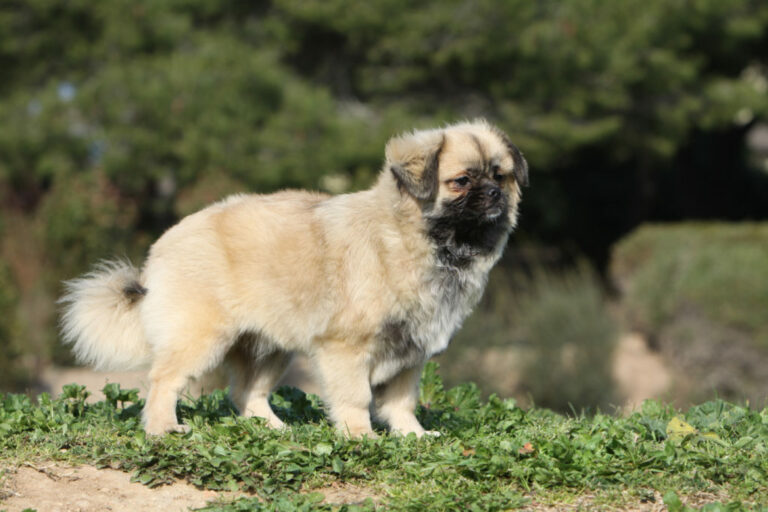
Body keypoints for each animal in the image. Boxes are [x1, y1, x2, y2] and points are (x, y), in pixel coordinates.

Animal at [60, 119, 528, 436]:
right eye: (461, 181)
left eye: (500, 175)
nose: (493, 194)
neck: (417, 240)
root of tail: (165, 244)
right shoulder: (347, 349)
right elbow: (357, 398)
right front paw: (361, 437)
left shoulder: (410, 353)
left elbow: (401, 403)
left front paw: (412, 437)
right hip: (201, 338)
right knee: (163, 382)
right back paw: (164, 429)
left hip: (269, 348)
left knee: (247, 394)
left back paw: (274, 429)